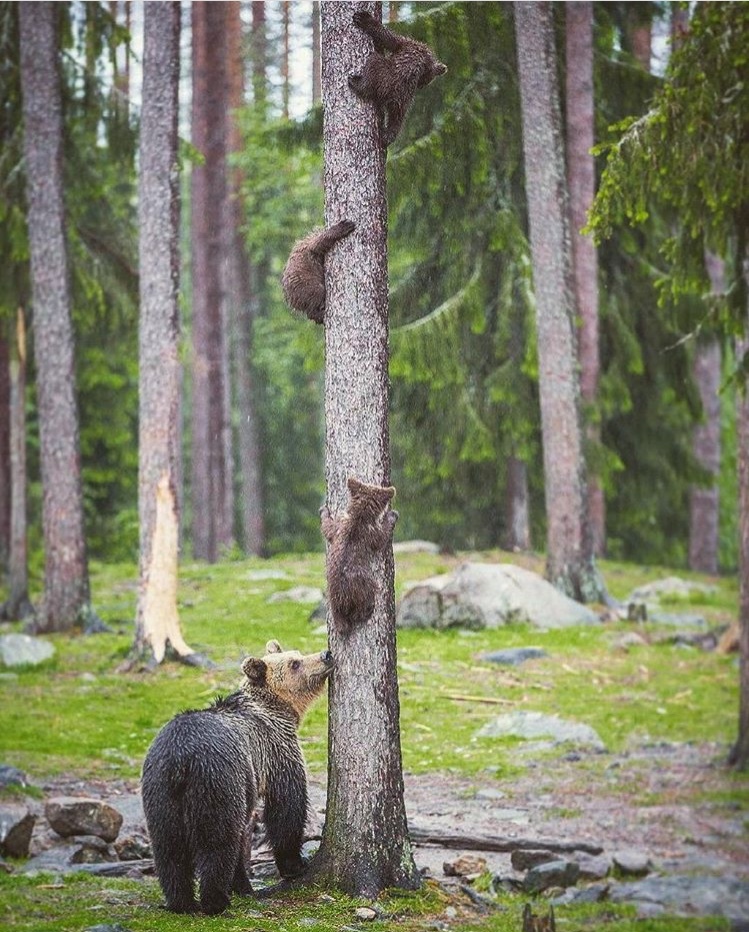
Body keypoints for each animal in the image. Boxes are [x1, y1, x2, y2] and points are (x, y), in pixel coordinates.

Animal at [141, 644, 334, 912]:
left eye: (297, 654)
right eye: (295, 663)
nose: (326, 655)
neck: (278, 708)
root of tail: (180, 758)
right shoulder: (275, 751)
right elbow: (286, 806)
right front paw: (294, 865)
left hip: (160, 790)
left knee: (168, 849)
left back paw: (182, 902)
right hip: (217, 781)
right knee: (218, 842)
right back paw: (216, 901)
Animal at [318, 476, 398, 628]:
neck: (359, 516)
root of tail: (341, 599)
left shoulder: (339, 526)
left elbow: (328, 528)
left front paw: (323, 510)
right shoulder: (371, 533)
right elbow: (382, 537)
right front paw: (392, 515)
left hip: (331, 592)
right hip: (363, 585)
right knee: (365, 601)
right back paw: (367, 611)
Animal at [350, 9, 448, 147]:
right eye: (425, 81)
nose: (421, 86)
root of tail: (392, 95)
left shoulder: (404, 44)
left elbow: (387, 38)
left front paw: (364, 19)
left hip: (386, 76)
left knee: (374, 63)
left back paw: (357, 83)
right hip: (404, 100)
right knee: (397, 118)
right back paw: (388, 136)